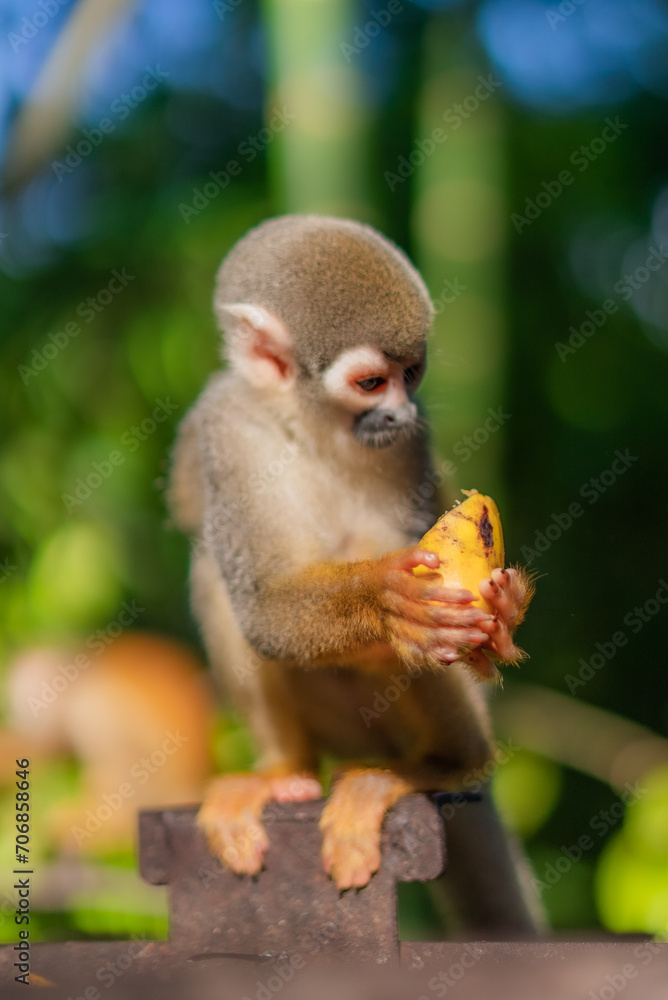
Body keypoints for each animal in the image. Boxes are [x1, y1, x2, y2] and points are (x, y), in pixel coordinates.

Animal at [168, 215, 540, 934]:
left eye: (411, 375)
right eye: (372, 383)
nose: (401, 414)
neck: (309, 427)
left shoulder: (410, 449)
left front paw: (503, 613)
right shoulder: (229, 431)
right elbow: (262, 606)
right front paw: (388, 601)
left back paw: (440, 765)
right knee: (213, 571)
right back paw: (285, 768)